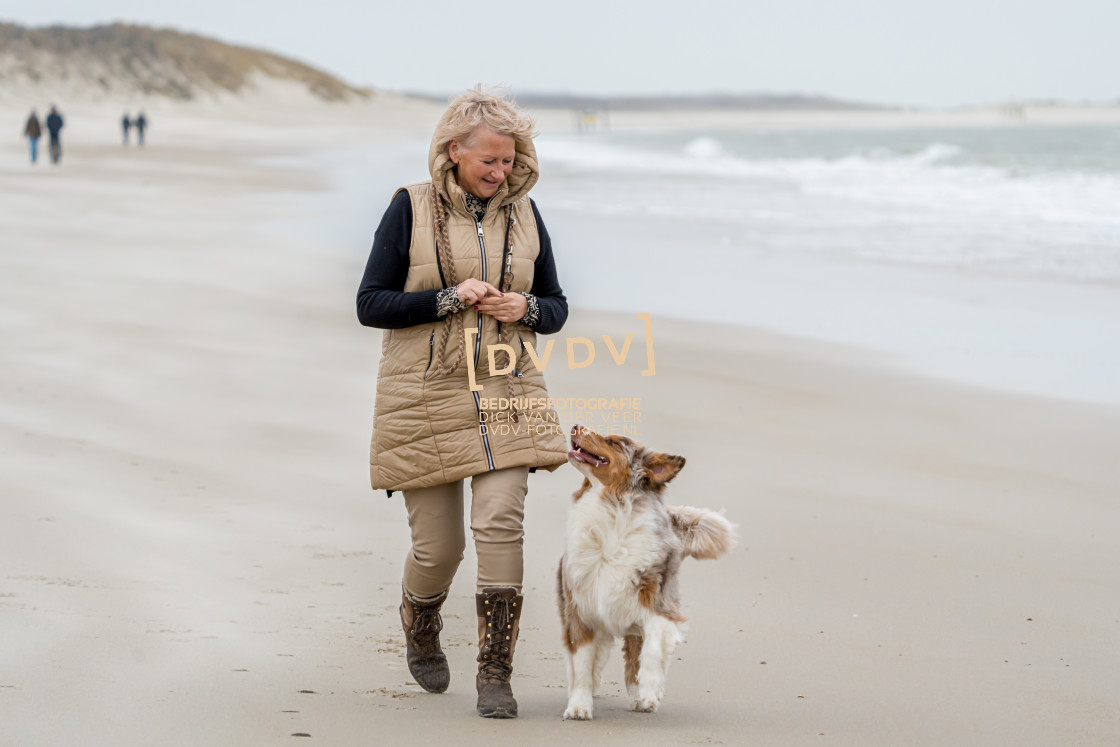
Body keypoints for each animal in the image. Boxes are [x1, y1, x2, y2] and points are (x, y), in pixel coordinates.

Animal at [557, 425, 734, 716]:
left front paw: (649, 692)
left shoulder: (659, 606)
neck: (611, 506)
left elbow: (651, 652)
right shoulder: (581, 607)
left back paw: (639, 696)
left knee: (633, 657)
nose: (576, 427)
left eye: (614, 443)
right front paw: (579, 706)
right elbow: (581, 662)